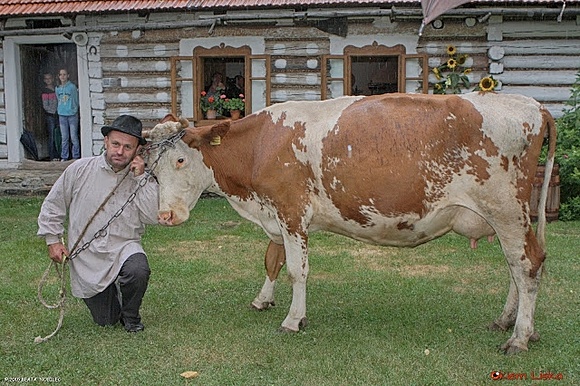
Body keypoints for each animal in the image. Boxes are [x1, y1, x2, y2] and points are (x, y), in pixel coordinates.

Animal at [145, 92, 556, 354]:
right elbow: (272, 261)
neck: (260, 146)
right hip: (508, 216)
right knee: (517, 265)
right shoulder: (276, 215)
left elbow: (296, 270)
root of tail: (533, 104)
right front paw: (263, 300)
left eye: (180, 160)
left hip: (506, 209)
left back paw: (519, 337)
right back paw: (507, 321)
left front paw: (294, 319)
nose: (165, 216)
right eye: (152, 170)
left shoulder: (292, 211)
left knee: (527, 264)